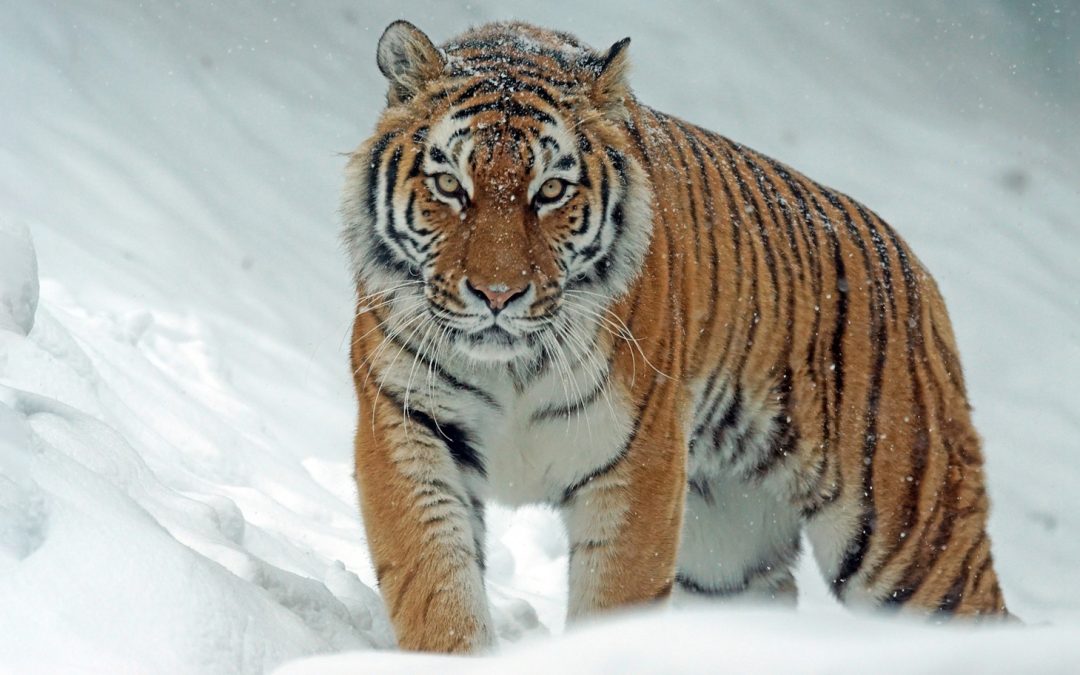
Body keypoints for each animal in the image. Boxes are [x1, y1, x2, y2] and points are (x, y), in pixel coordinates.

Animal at [342, 20, 1010, 653]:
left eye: (550, 191)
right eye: (450, 186)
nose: (498, 295)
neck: (511, 367)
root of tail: (916, 269)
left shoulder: (639, 462)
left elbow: (614, 602)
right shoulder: (407, 425)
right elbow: (435, 585)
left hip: (910, 536)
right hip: (728, 555)